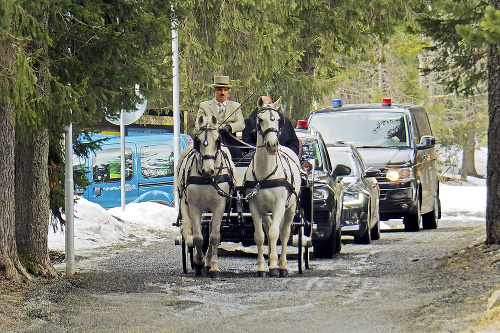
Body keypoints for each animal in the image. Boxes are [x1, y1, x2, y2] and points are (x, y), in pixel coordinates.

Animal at [176, 113, 234, 276]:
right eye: (198, 140)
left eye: (217, 140)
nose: (209, 170)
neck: (208, 179)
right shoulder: (195, 206)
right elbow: (197, 236)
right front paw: (198, 261)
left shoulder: (219, 205)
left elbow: (214, 236)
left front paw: (213, 266)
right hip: (185, 203)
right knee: (189, 230)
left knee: (211, 228)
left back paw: (208, 262)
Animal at [243, 96, 300, 274]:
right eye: (260, 119)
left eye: (278, 120)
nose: (273, 145)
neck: (265, 172)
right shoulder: (254, 206)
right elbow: (260, 236)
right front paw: (262, 267)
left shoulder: (280, 205)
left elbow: (276, 233)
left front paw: (275, 265)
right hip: (265, 211)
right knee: (267, 229)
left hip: (291, 207)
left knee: (285, 232)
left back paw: (282, 265)